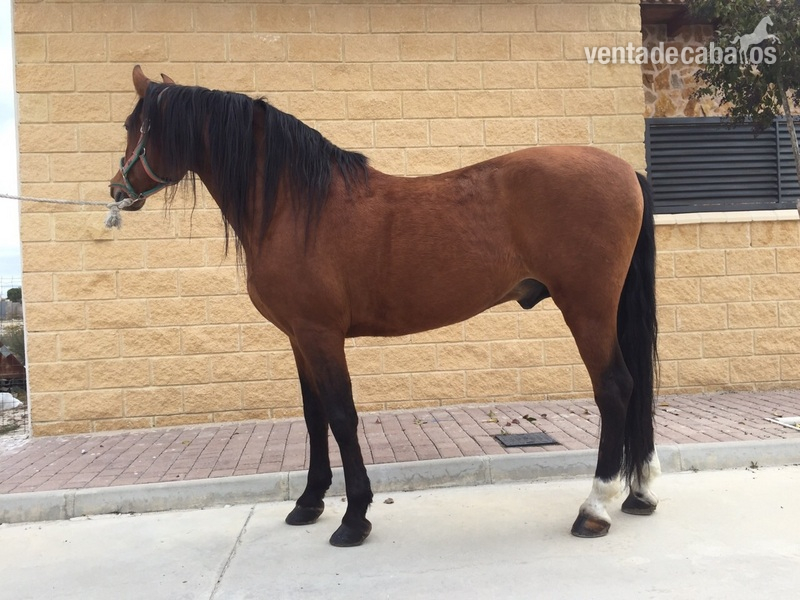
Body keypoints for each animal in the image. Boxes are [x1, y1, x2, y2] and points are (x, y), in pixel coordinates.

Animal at [110, 65, 658, 547]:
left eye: (137, 127)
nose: (117, 191)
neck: (295, 205)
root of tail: (626, 171)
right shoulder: (298, 337)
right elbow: (313, 416)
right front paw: (308, 503)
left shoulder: (321, 334)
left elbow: (341, 415)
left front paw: (353, 518)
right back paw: (639, 493)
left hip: (587, 308)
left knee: (614, 388)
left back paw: (594, 508)